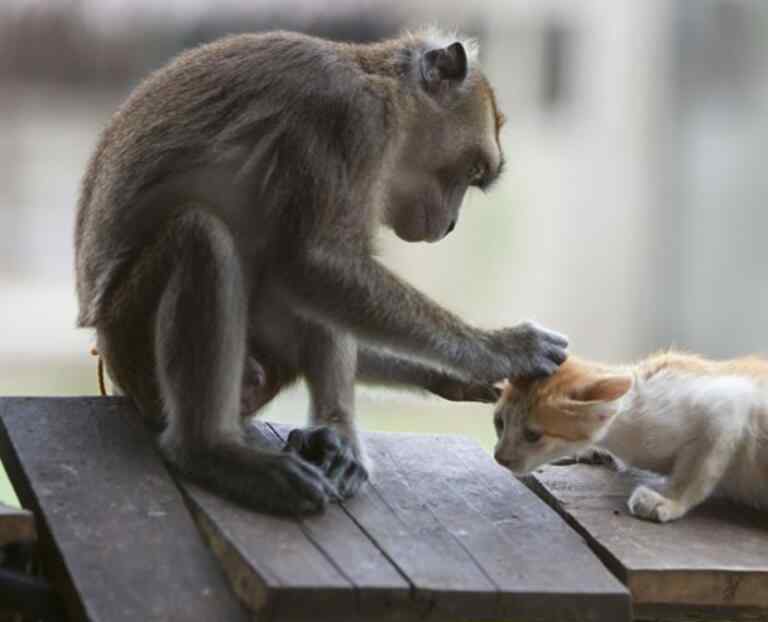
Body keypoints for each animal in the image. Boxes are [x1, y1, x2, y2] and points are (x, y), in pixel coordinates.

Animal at [492, 354, 768, 524]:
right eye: (499, 423)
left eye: (532, 435)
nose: (500, 457)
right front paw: (588, 452)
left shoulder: (727, 408)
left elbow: (698, 471)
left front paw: (668, 500)